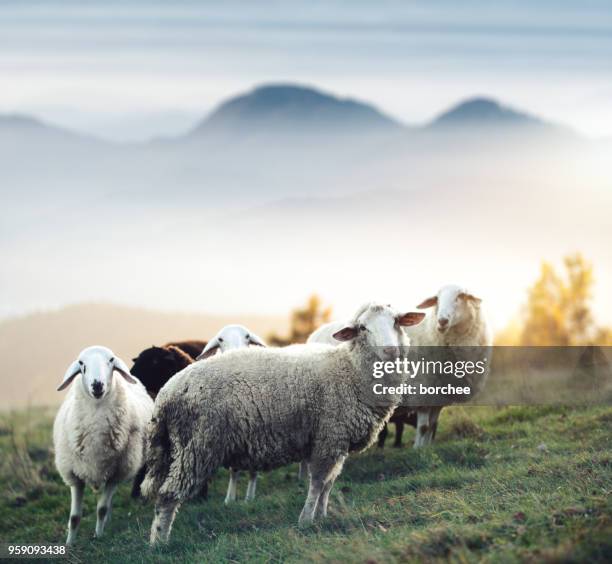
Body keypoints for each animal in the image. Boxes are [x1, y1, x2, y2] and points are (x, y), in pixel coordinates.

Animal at [52, 346, 154, 544]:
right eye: (81, 363)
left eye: (111, 360)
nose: (97, 385)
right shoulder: (74, 475)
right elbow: (74, 517)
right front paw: (70, 543)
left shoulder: (117, 473)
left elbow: (101, 509)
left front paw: (98, 535)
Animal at [195, 324, 264, 504]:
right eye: (220, 339)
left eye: (247, 336)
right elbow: (234, 469)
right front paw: (229, 499)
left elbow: (254, 468)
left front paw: (249, 498)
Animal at [404, 284, 494, 448]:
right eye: (437, 299)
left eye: (460, 296)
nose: (442, 321)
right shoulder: (422, 391)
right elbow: (423, 427)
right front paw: (417, 449)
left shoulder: (439, 397)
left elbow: (432, 425)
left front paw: (426, 448)